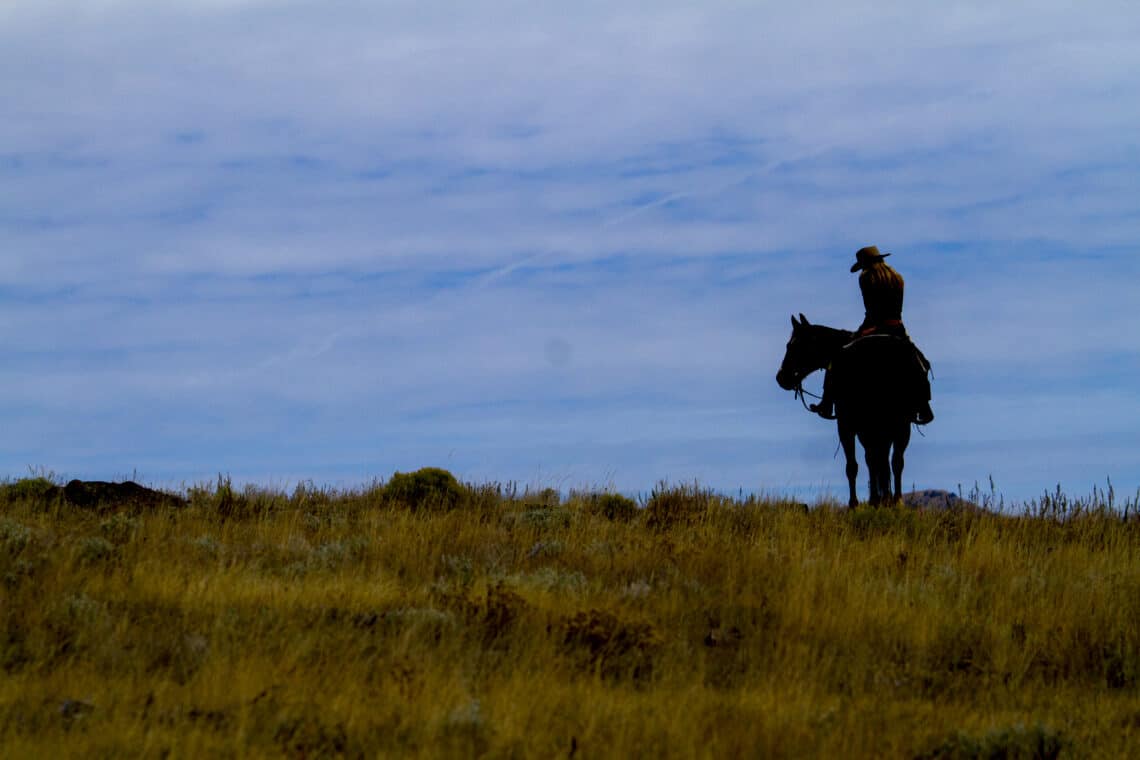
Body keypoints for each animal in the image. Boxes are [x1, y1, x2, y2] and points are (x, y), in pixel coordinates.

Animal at [775, 312, 916, 508]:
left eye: (793, 345)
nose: (781, 377)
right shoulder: (858, 429)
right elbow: (862, 464)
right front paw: (867, 501)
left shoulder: (846, 426)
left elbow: (858, 465)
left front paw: (855, 504)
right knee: (880, 461)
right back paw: (884, 499)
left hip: (898, 428)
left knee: (895, 462)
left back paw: (895, 500)